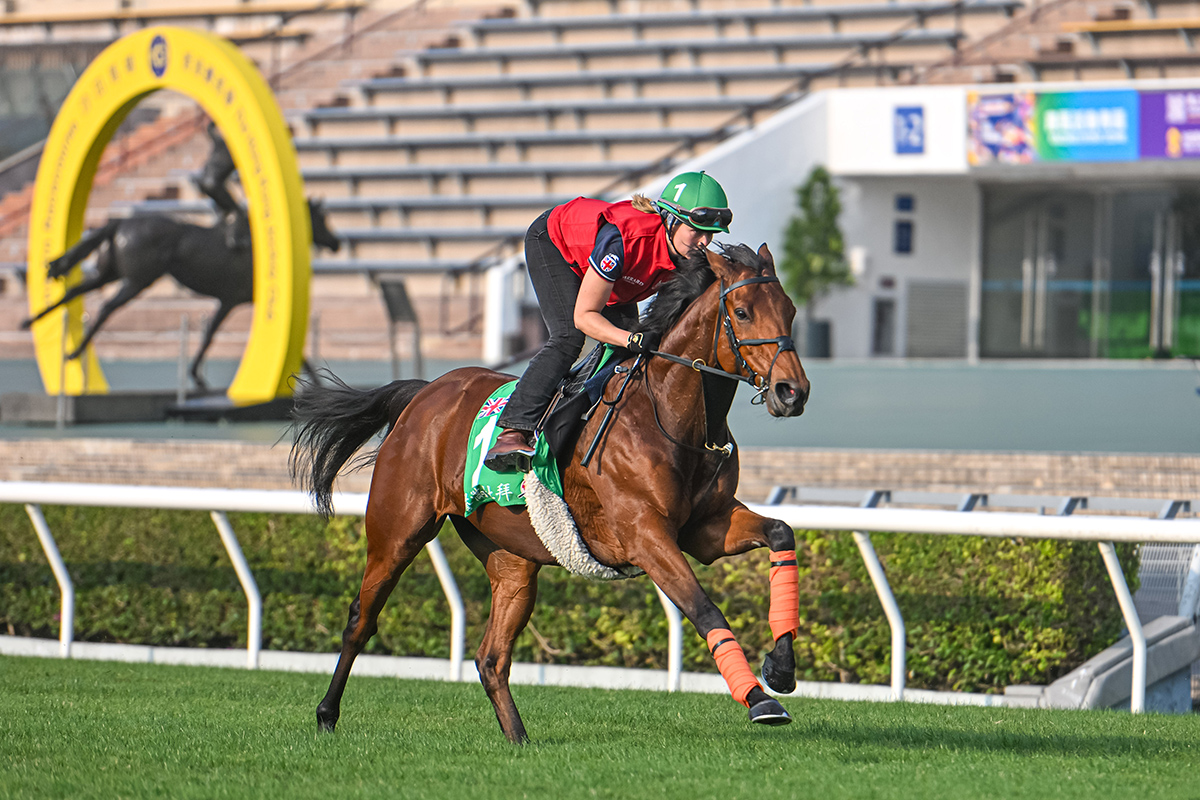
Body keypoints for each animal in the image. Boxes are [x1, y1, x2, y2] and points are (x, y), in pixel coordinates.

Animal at [23, 201, 343, 393]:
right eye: (322, 219)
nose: (337, 243)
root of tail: (120, 224)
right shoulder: (230, 301)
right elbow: (210, 335)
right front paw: (197, 377)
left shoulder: (232, 302)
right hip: (137, 281)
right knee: (105, 308)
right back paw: (73, 351)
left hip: (108, 274)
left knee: (74, 291)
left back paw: (32, 324)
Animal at [290, 244, 811, 743]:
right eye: (742, 312)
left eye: (790, 309)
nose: (793, 391)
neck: (668, 414)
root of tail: (425, 392)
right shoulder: (645, 535)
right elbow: (703, 608)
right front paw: (759, 700)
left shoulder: (706, 528)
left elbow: (781, 533)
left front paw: (781, 666)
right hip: (397, 532)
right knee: (361, 621)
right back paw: (326, 715)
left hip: (512, 560)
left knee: (491, 657)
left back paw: (519, 740)